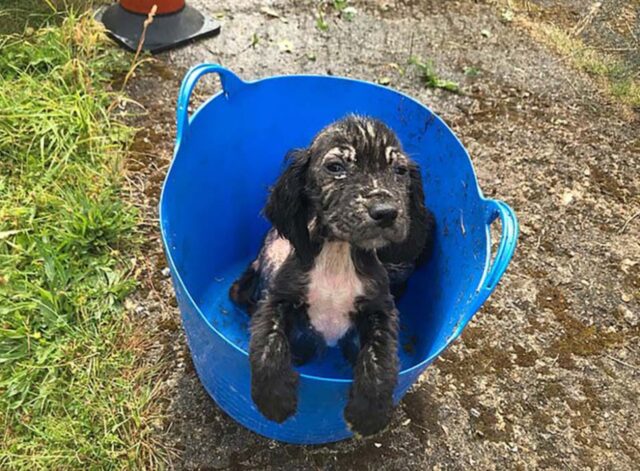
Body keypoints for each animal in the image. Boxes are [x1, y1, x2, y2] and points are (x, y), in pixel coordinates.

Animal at [230, 115, 436, 438]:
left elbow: (380, 356)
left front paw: (369, 413)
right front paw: (274, 398)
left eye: (400, 171)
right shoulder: (278, 297)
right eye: (336, 167)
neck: (339, 253)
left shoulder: (381, 309)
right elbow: (269, 342)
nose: (386, 212)